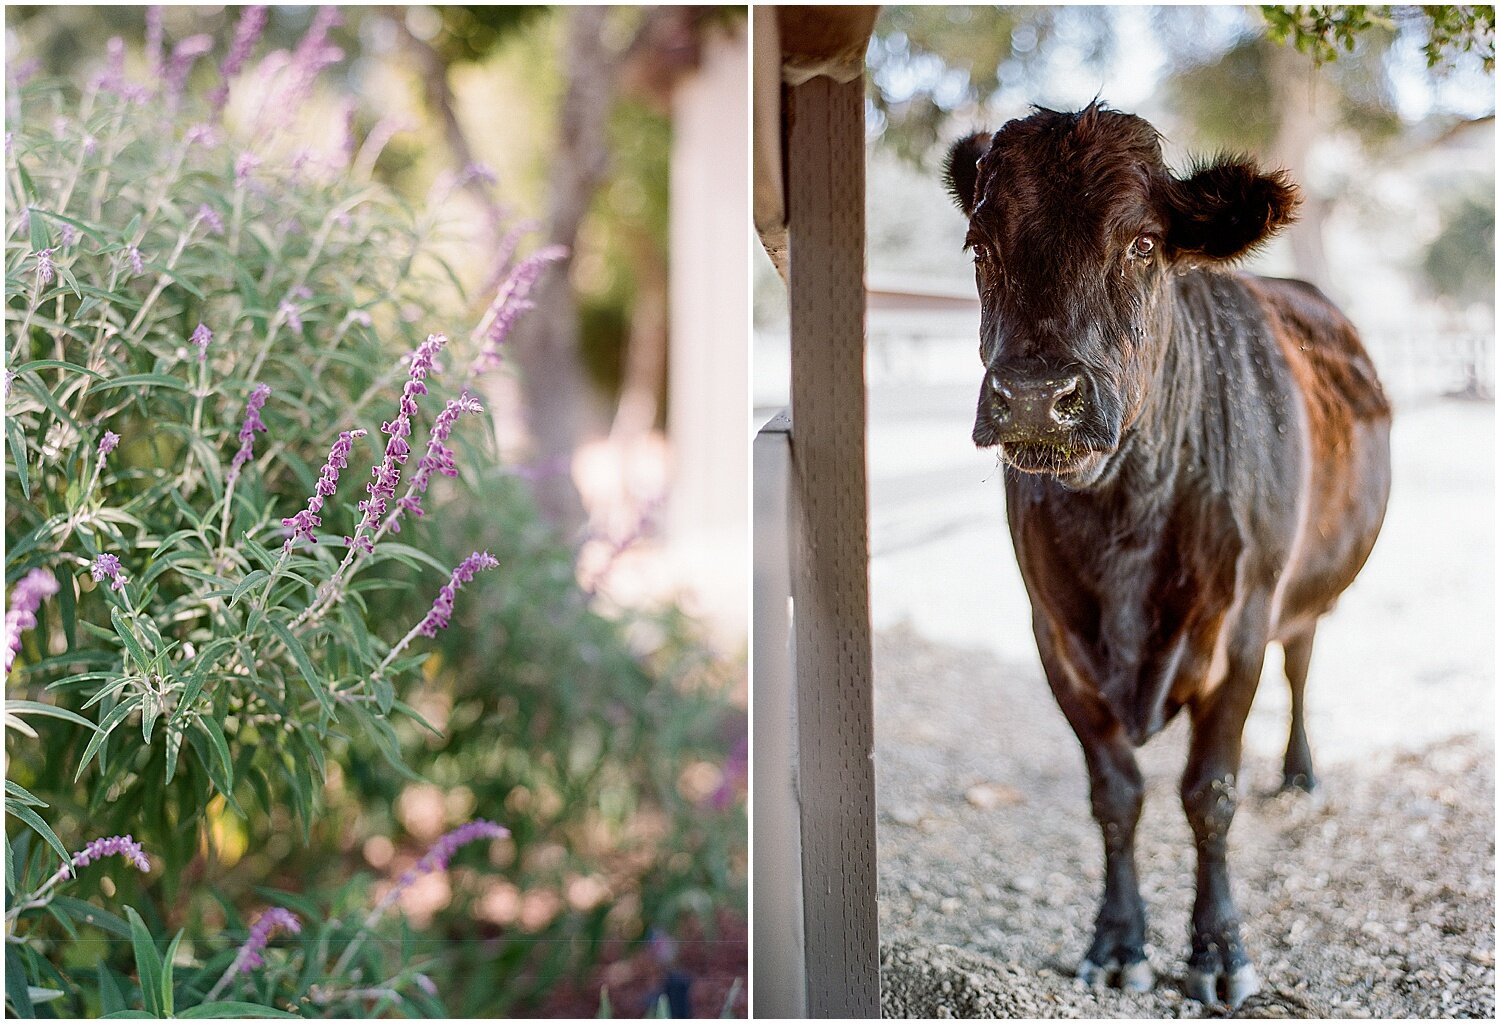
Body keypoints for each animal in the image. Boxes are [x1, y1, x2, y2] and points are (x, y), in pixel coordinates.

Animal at [948, 106, 1392, 1007]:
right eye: (981, 247)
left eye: (1143, 244)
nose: (1037, 398)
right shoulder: (1055, 636)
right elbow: (1115, 796)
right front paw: (1117, 940)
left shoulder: (1242, 628)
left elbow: (1208, 794)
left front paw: (1218, 950)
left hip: (1301, 595)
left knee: (1302, 664)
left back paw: (1299, 773)